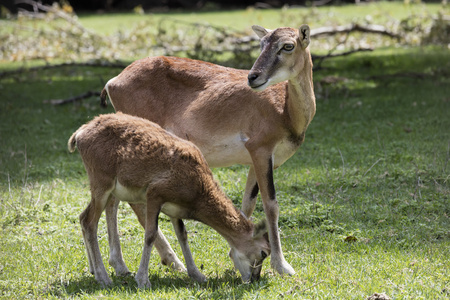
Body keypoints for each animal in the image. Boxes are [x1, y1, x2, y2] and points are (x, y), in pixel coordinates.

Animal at [68, 113, 268, 288]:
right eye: (263, 252)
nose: (254, 279)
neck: (197, 192)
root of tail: (79, 134)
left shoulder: (174, 209)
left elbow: (183, 234)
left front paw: (198, 275)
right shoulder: (155, 193)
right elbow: (150, 234)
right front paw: (143, 281)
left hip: (106, 190)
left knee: (84, 216)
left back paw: (95, 270)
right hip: (101, 182)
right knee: (89, 221)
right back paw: (103, 278)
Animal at [100, 24, 314, 278]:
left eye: (287, 45)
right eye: (262, 44)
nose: (253, 77)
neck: (285, 110)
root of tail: (113, 82)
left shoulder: (255, 162)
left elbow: (247, 204)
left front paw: (235, 257)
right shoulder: (261, 150)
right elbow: (271, 205)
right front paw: (283, 266)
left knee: (114, 199)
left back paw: (124, 265)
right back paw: (168, 262)